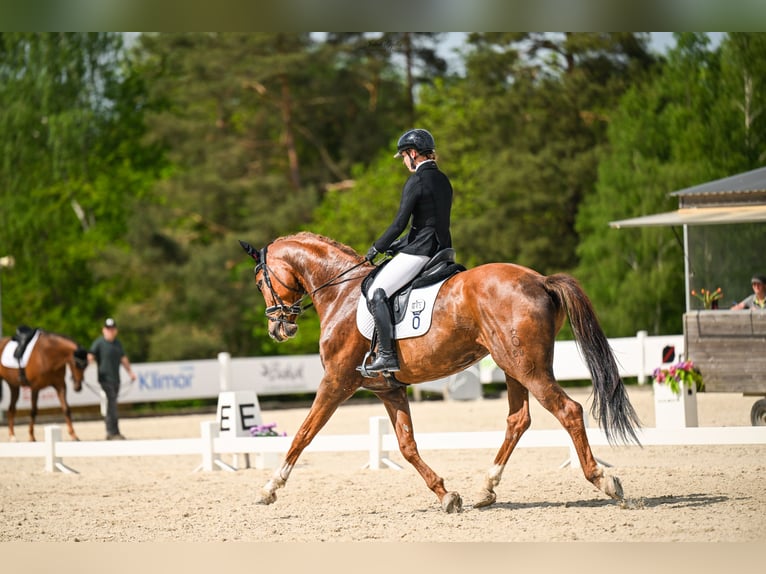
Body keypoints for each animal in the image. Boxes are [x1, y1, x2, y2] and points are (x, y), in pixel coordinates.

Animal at [240, 232, 640, 516]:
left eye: (260, 282)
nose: (279, 329)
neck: (342, 294)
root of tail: (540, 279)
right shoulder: (389, 390)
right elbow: (407, 446)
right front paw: (447, 495)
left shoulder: (336, 382)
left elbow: (303, 434)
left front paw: (269, 489)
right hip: (514, 365)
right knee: (518, 419)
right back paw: (486, 489)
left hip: (526, 366)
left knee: (568, 410)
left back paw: (604, 481)